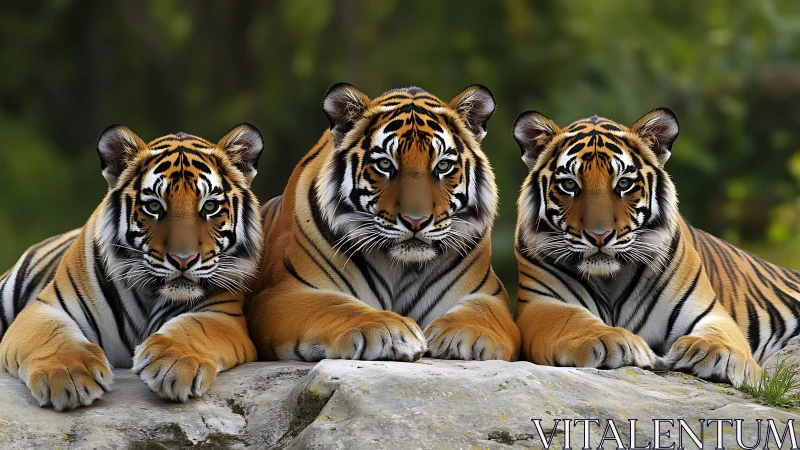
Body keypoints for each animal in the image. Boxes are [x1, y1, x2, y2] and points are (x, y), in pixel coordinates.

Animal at [0, 124, 264, 410]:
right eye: (154, 206)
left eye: (210, 206)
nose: (183, 260)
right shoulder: (44, 308)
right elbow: (53, 336)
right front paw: (69, 374)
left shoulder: (223, 315)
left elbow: (194, 328)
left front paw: (173, 364)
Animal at [246, 84, 520, 362]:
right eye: (385, 164)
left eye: (443, 165)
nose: (415, 221)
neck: (401, 267)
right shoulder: (282, 293)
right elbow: (335, 305)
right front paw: (391, 330)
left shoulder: (490, 295)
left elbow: (483, 312)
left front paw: (464, 334)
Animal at [511, 107, 800, 387]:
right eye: (569, 184)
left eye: (624, 183)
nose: (599, 236)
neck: (609, 281)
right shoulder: (542, 305)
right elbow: (573, 320)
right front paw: (611, 340)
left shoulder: (708, 311)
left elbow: (721, 334)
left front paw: (715, 354)